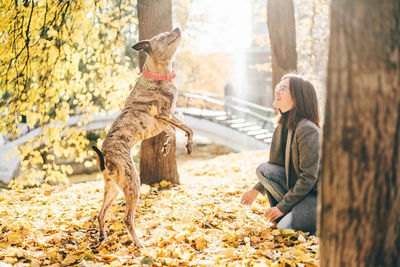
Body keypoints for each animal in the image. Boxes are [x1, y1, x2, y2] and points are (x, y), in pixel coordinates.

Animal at [92, 28, 195, 248]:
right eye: (164, 36)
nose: (177, 28)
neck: (158, 75)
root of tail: (105, 159)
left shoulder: (163, 122)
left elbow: (172, 132)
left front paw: (166, 147)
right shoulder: (165, 115)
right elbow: (188, 128)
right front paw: (189, 145)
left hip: (112, 189)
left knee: (101, 213)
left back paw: (103, 237)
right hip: (133, 184)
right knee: (127, 218)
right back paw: (139, 243)